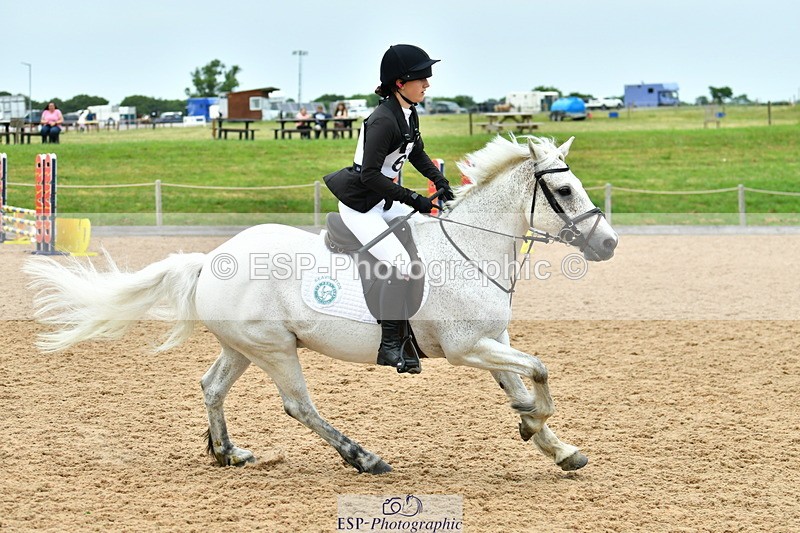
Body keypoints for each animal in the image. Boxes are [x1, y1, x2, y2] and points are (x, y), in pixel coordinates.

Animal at [24, 136, 618, 474]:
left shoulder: (493, 342)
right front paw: (534, 423)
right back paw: (364, 457)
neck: (470, 246)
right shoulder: (467, 348)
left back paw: (228, 452)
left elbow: (523, 382)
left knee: (212, 386)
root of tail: (212, 258)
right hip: (275, 349)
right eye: (565, 191)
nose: (609, 244)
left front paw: (551, 443)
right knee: (299, 406)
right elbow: (539, 372)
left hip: (244, 346)